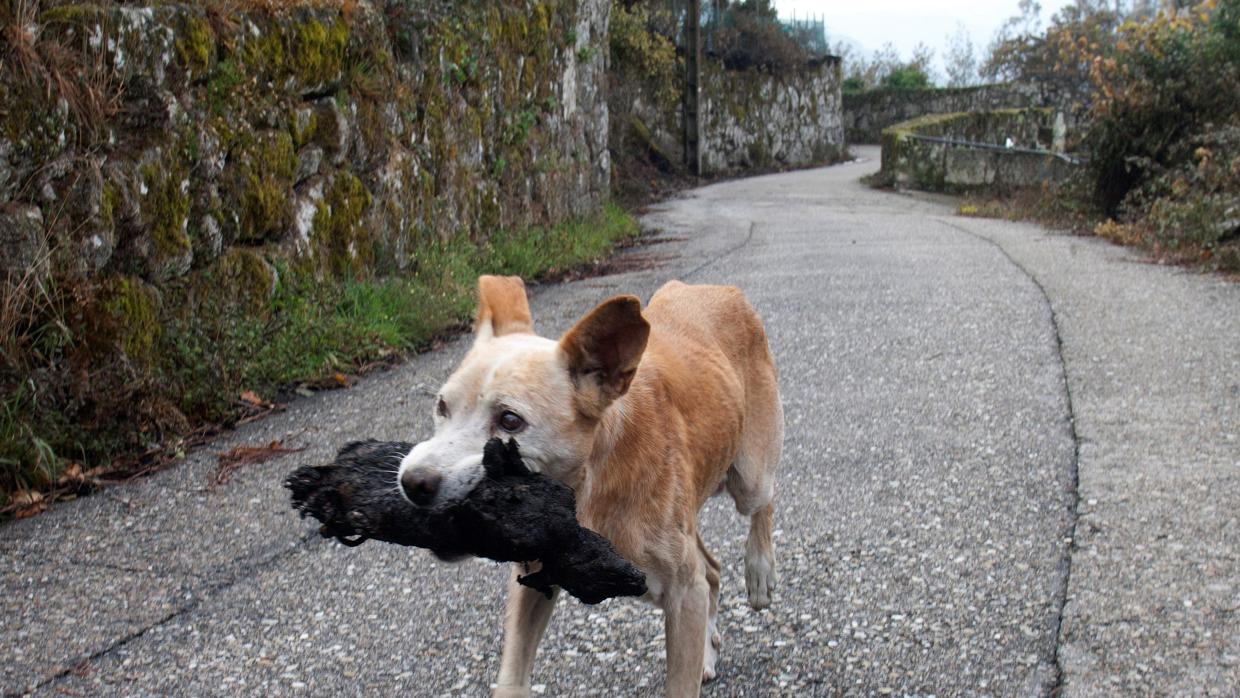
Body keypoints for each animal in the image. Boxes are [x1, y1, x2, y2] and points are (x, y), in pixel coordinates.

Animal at [399, 276, 783, 698]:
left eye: (510, 420)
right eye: (442, 407)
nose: (413, 482)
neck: (588, 490)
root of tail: (714, 287)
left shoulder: (684, 592)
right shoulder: (533, 580)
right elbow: (512, 675)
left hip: (750, 477)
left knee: (763, 503)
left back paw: (760, 571)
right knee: (711, 570)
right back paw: (708, 654)